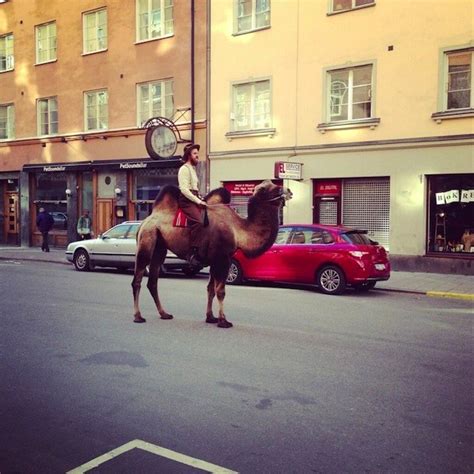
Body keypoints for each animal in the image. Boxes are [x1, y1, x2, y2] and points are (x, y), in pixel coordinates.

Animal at [131, 180, 290, 328]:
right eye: (263, 188)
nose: (287, 190)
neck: (238, 230)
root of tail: (144, 221)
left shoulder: (215, 259)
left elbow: (211, 289)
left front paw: (211, 318)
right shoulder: (222, 257)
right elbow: (220, 291)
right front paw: (223, 321)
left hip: (160, 247)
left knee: (153, 281)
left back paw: (164, 314)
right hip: (147, 238)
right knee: (137, 280)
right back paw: (138, 316)